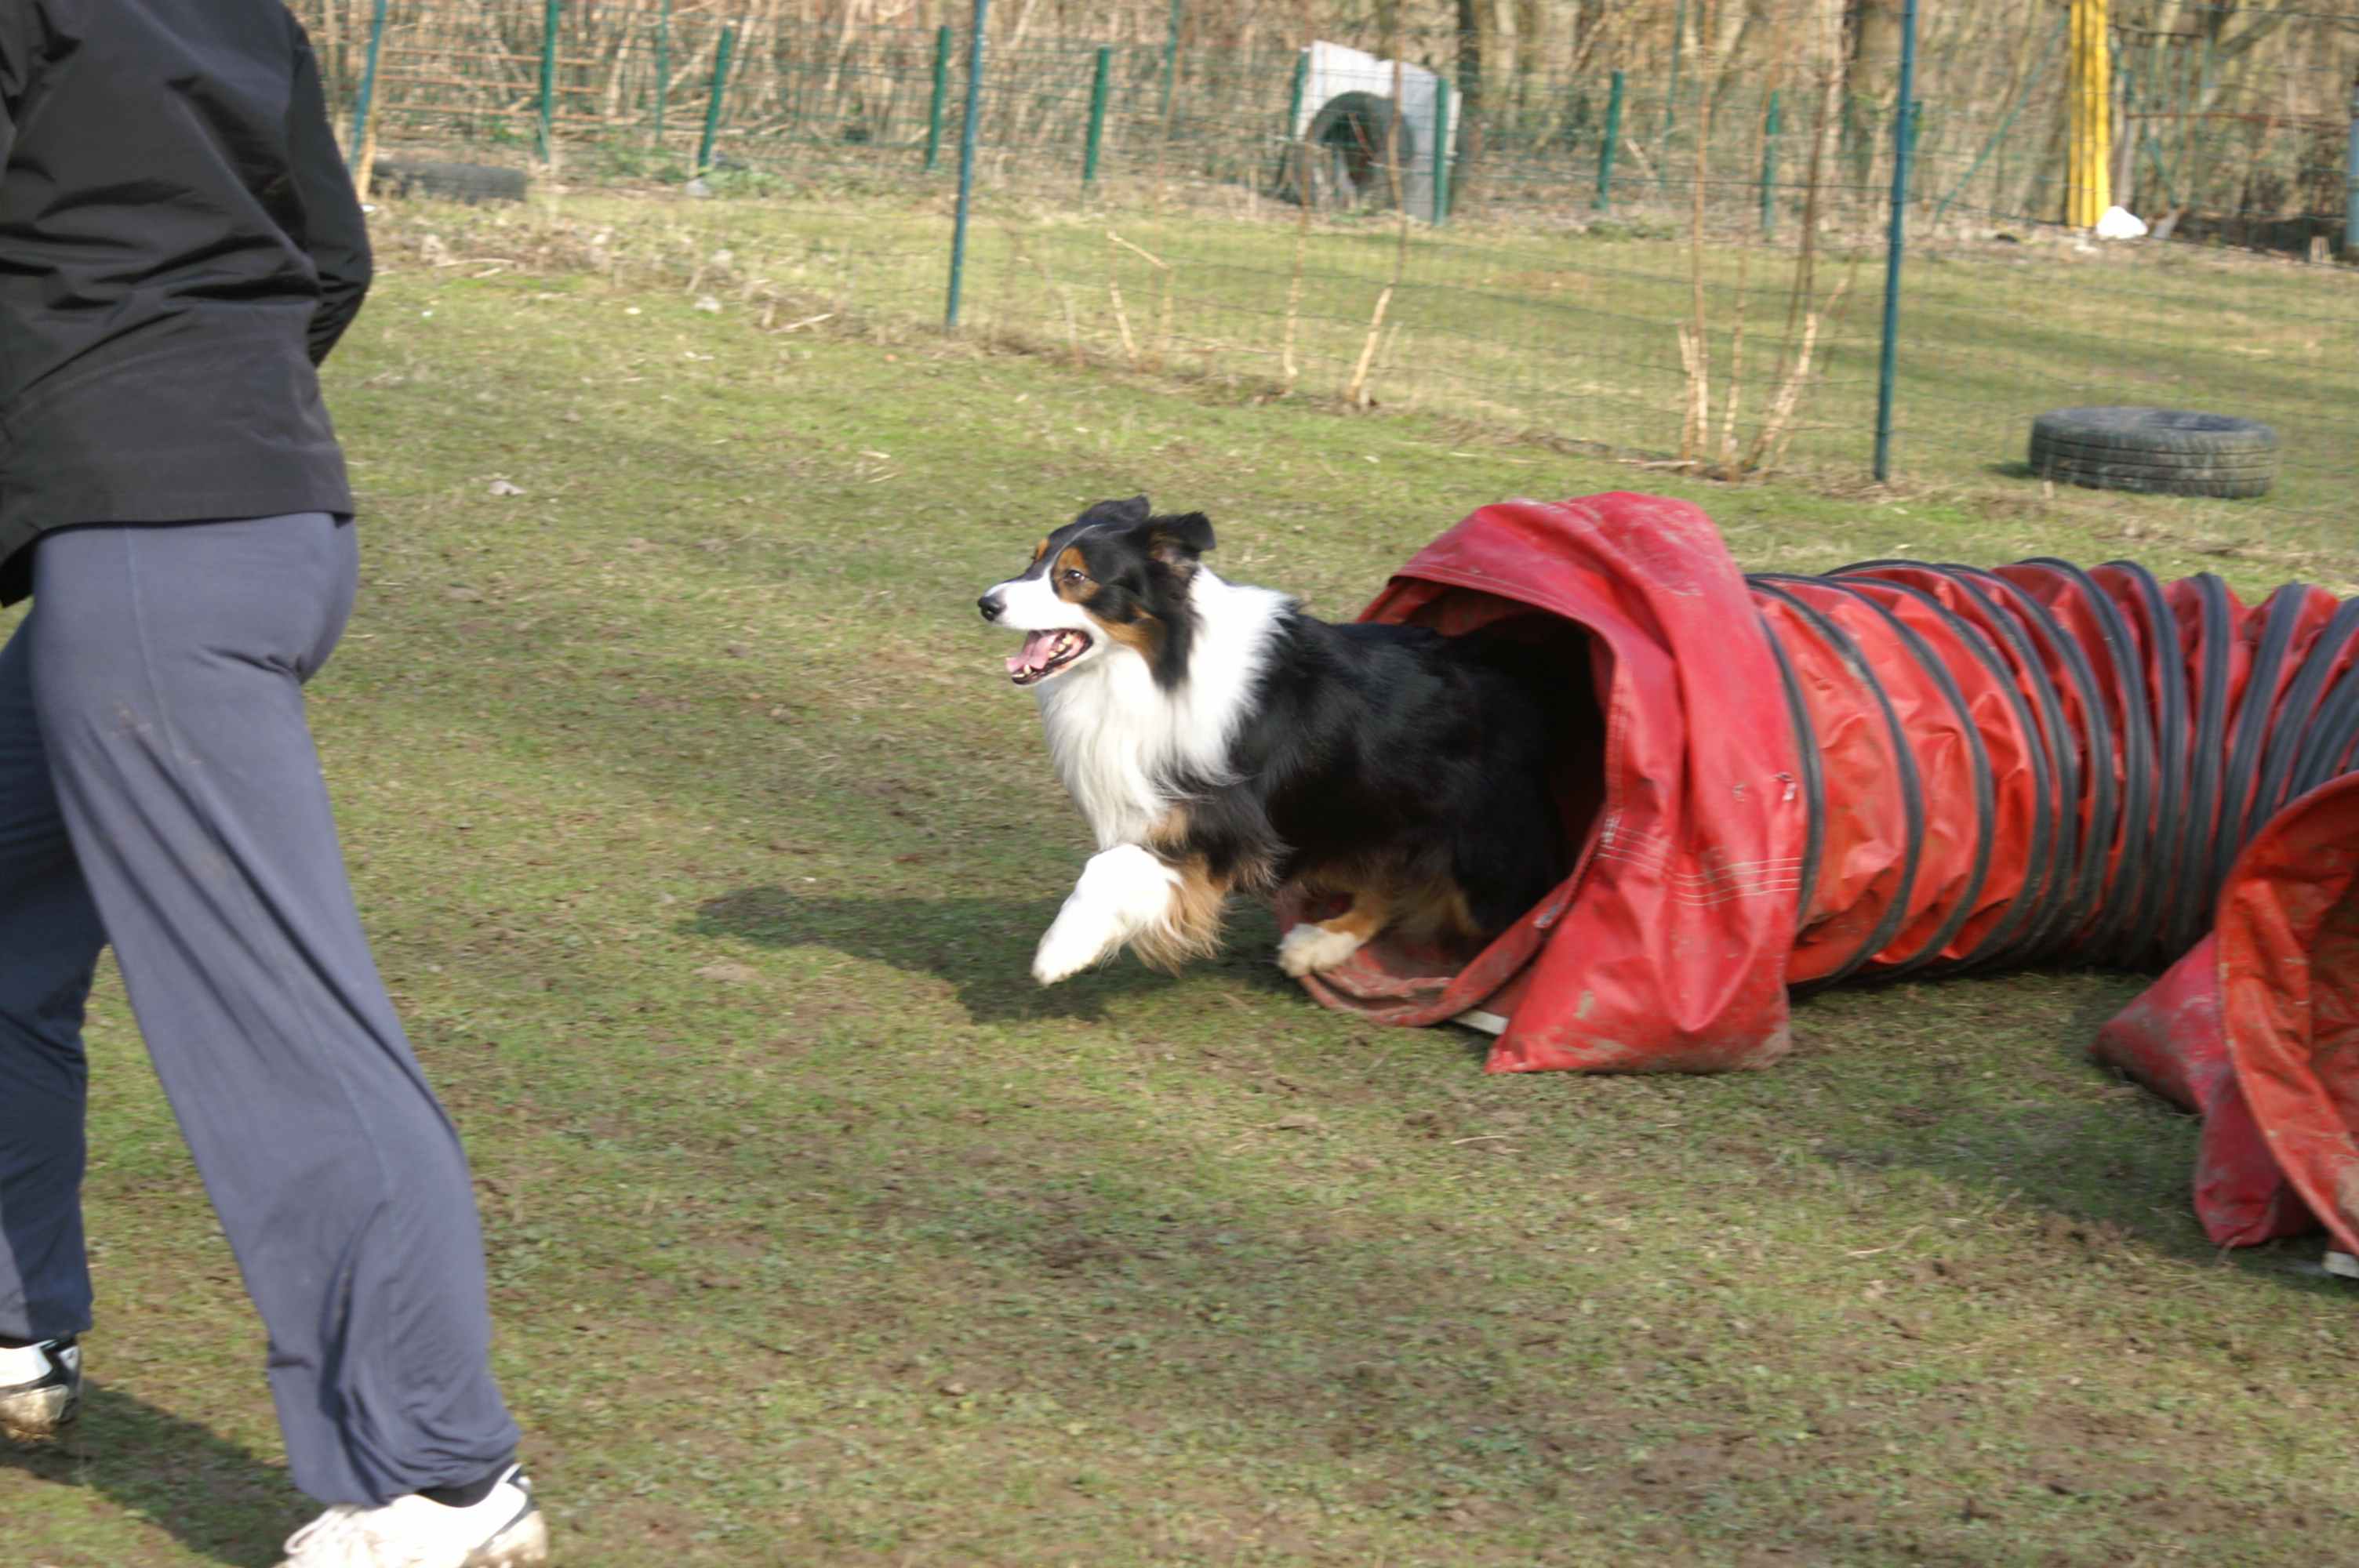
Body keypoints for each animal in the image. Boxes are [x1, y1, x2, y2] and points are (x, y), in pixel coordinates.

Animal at [979, 496, 1578, 987]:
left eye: (1075, 575)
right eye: (1034, 560)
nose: (987, 602)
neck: (1160, 663)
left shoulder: (1224, 819)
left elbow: (1108, 866)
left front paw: (1061, 950)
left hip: (1480, 849)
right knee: (1389, 882)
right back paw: (1318, 944)